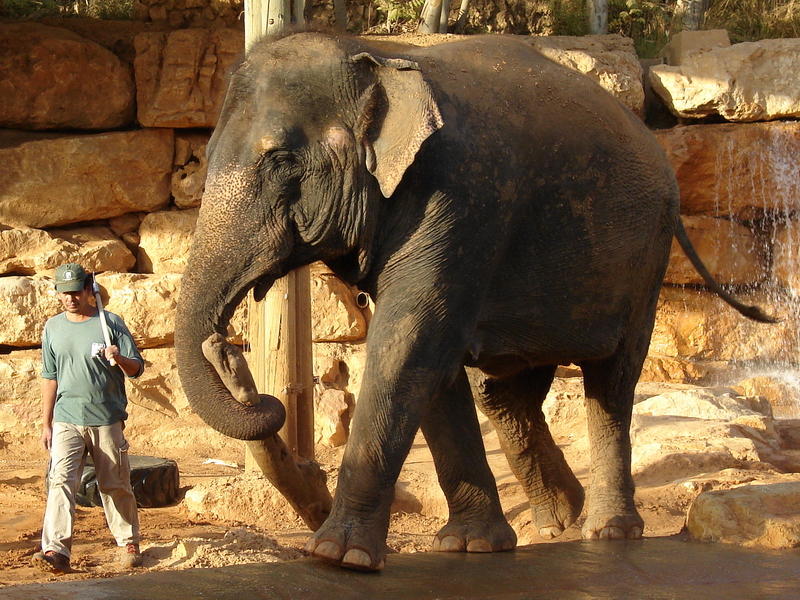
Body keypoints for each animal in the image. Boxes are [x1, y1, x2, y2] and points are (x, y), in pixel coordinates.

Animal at [174, 31, 773, 571]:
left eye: (279, 159)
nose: (228, 354)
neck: (375, 56)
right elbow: (427, 357)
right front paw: (471, 547)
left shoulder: (464, 198)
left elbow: (409, 341)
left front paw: (338, 556)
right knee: (503, 390)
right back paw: (559, 518)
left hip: (644, 260)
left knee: (612, 380)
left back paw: (608, 531)